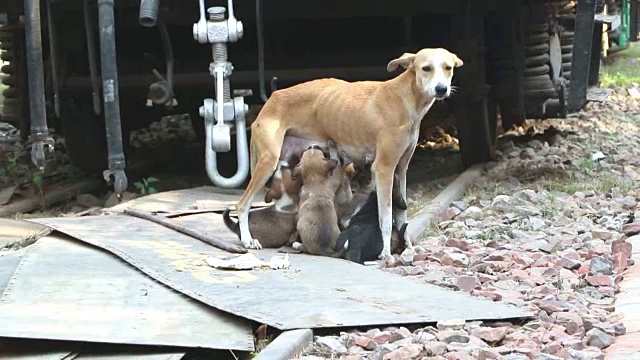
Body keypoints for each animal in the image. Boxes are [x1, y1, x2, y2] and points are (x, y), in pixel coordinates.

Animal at [234, 47, 460, 262]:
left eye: (448, 68)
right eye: (426, 68)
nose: (441, 89)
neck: (404, 98)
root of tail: (271, 99)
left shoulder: (401, 170)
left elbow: (402, 216)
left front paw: (409, 248)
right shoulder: (384, 169)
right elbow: (386, 218)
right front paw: (386, 253)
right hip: (267, 163)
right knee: (242, 204)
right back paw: (247, 240)